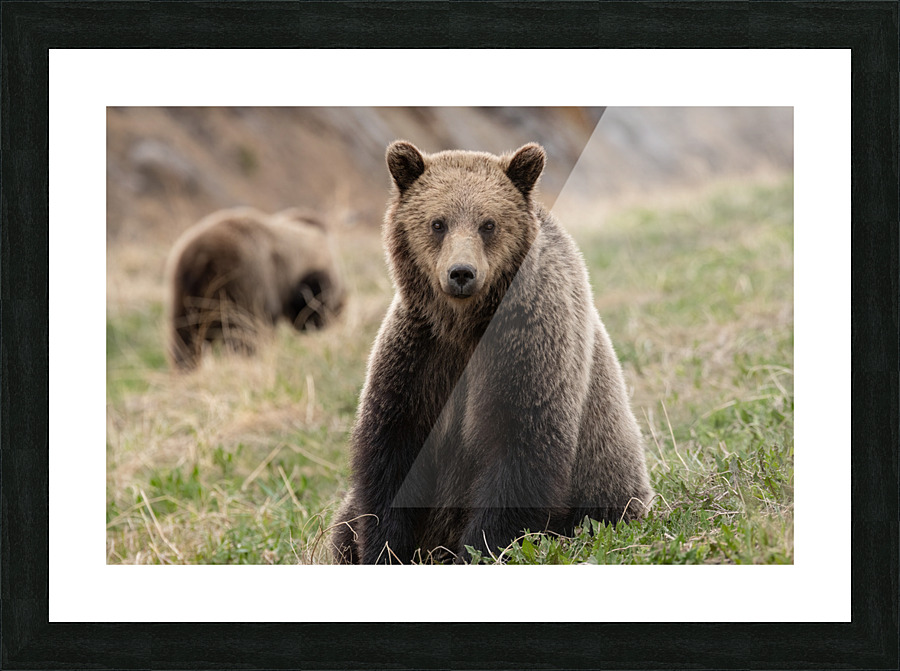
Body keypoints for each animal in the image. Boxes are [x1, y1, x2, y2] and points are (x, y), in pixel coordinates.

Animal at [331, 141, 652, 564]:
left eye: (488, 224)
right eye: (438, 223)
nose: (461, 273)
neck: (466, 326)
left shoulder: (529, 346)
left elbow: (519, 449)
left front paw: (479, 548)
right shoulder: (420, 353)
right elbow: (392, 451)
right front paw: (382, 548)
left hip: (605, 489)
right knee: (343, 522)